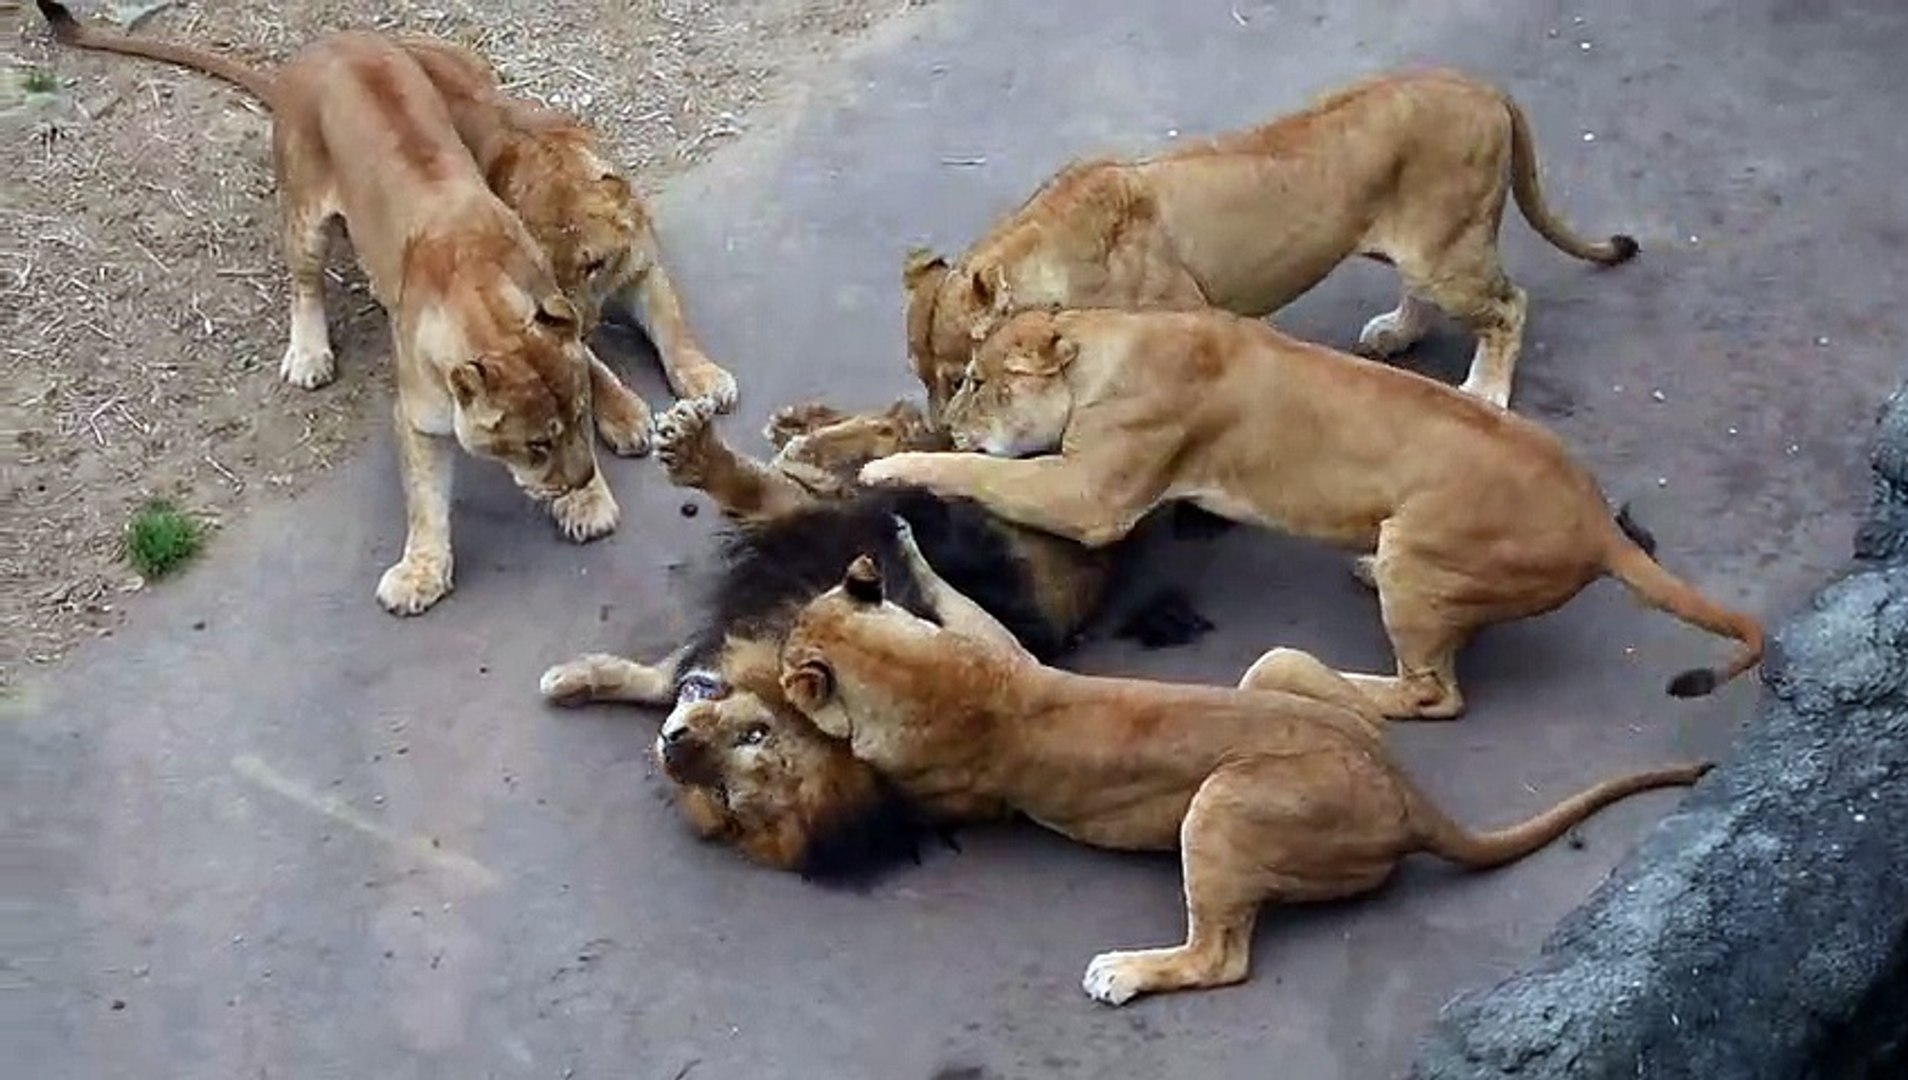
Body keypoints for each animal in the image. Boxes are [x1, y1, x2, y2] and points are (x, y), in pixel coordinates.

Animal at [38, 1, 615, 615]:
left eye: (579, 420)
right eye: (535, 445)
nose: (580, 477)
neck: (488, 303)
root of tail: (316, 50)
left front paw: (592, 495)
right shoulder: (416, 413)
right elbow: (426, 503)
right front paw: (420, 574)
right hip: (305, 214)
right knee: (305, 283)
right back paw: (309, 355)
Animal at [539, 397, 1214, 878]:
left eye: (730, 789)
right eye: (752, 739)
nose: (674, 746)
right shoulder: (816, 537)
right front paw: (574, 678)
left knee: (900, 429)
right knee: (899, 425)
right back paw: (797, 428)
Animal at [777, 541, 1712, 1005]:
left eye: (789, 657)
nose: (783, 665)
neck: (914, 667)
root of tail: (1407, 796)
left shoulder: (946, 780)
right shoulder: (992, 644)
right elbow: (951, 593)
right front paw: (904, 542)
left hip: (1221, 806)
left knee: (1221, 958)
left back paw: (1123, 973)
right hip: (1278, 667)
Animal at [860, 307, 1764, 718]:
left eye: (977, 381)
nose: (951, 417)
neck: (1110, 342)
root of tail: (1598, 521)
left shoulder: (1095, 497)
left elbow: (977, 472)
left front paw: (894, 464)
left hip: (1420, 557)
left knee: (1434, 694)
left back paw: (1318, 679)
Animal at [903, 68, 1637, 413]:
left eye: (957, 378)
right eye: (925, 379)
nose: (941, 432)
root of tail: (1483, 86)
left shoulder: (1186, 315)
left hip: (1446, 252)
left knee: (1510, 306)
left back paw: (1484, 391)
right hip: (1421, 250)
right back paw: (1395, 333)